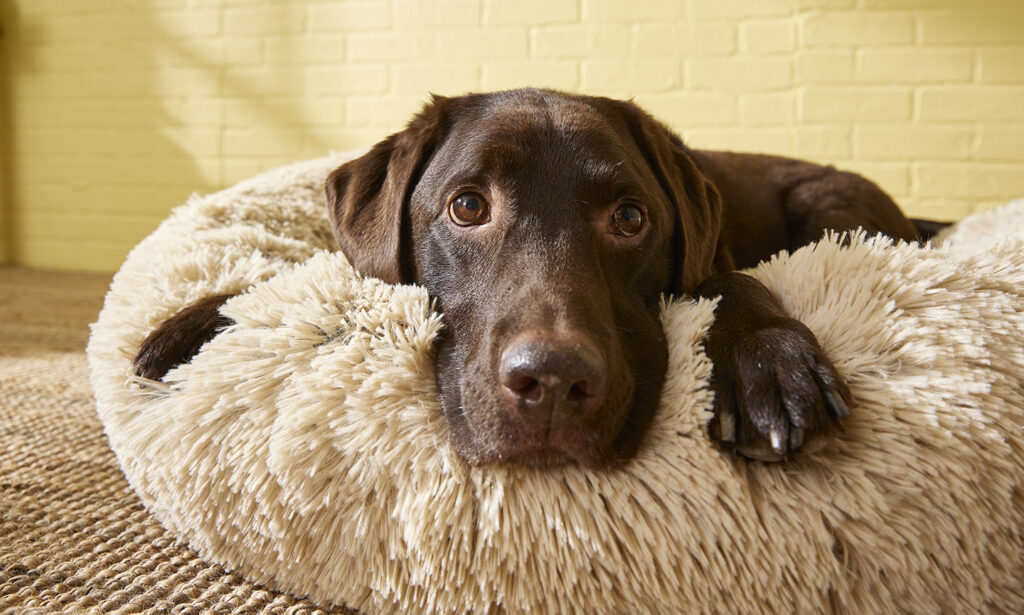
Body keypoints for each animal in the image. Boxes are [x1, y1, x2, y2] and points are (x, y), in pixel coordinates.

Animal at [134, 88, 945, 467]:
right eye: (467, 206)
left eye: (630, 218)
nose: (552, 383)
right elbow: (329, 270)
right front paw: (196, 320)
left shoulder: (715, 263)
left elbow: (728, 281)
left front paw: (768, 363)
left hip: (832, 204)